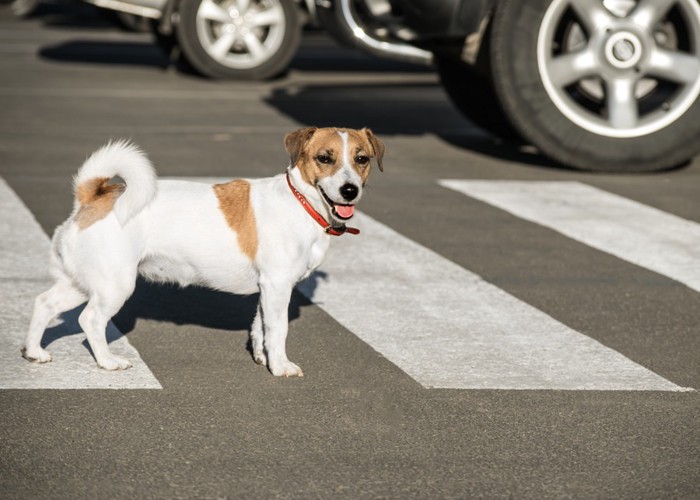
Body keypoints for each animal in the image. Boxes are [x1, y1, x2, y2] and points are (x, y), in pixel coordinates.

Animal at [20, 127, 382, 376]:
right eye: (325, 158)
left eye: (361, 159)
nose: (350, 190)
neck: (301, 202)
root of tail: (92, 198)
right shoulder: (278, 285)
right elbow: (278, 329)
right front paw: (280, 366)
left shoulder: (267, 289)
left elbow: (260, 326)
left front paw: (262, 357)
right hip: (114, 285)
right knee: (90, 320)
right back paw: (108, 361)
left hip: (83, 282)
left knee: (44, 303)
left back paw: (34, 352)